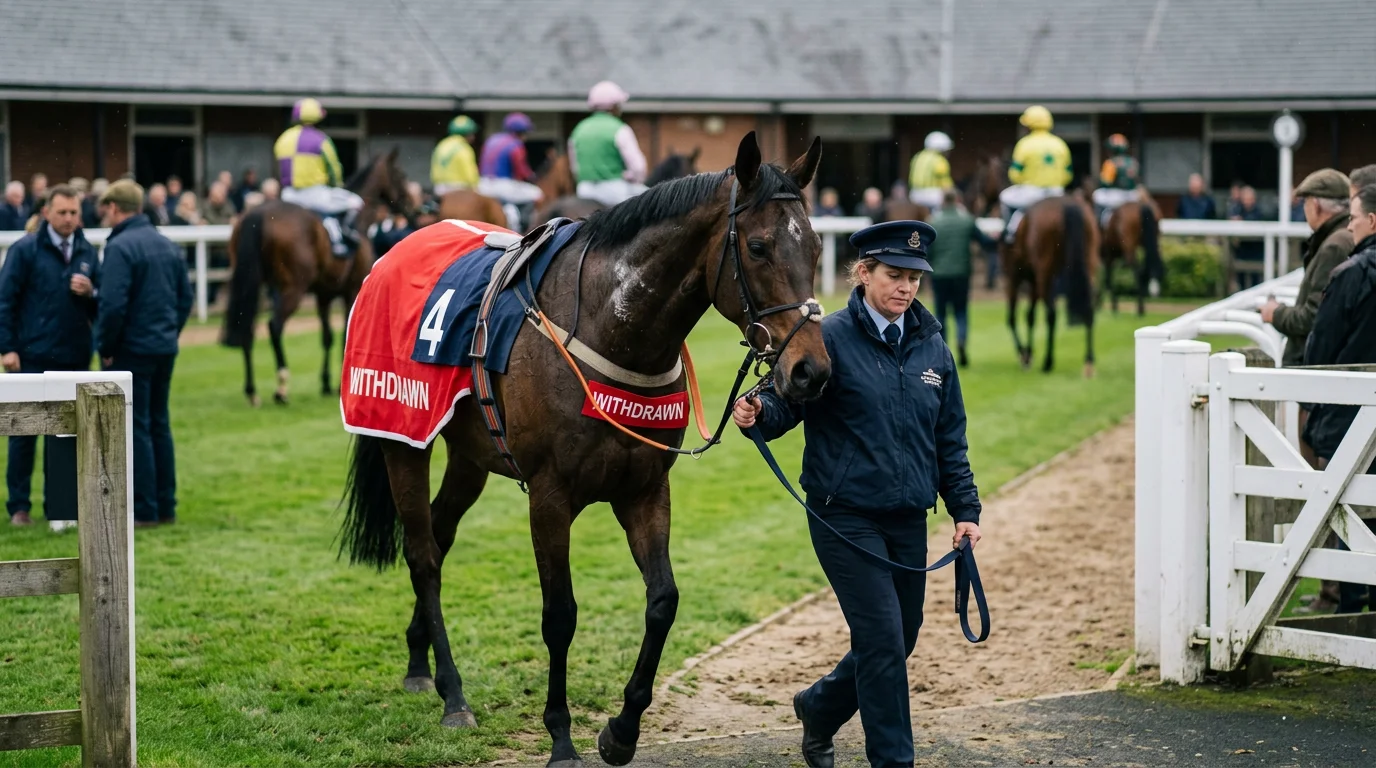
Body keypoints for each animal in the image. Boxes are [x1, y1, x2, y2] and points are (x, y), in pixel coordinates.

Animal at [220, 150, 409, 405]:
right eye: (400, 174)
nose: (415, 205)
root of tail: (258, 213)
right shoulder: (351, 290)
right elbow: (345, 334)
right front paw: (340, 386)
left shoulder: (324, 294)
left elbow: (327, 336)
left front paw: (327, 384)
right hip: (294, 287)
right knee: (275, 326)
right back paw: (281, 388)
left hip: (253, 284)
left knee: (247, 328)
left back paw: (252, 391)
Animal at [338, 132, 829, 767]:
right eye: (760, 246)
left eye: (816, 247)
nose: (810, 370)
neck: (608, 323)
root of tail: (394, 249)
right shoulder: (549, 497)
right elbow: (560, 615)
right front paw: (561, 736)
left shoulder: (645, 489)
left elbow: (663, 600)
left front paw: (621, 731)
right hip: (405, 441)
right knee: (422, 554)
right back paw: (453, 693)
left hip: (469, 455)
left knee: (438, 538)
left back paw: (420, 662)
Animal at [1003, 192, 1100, 377]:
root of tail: (1068, 204)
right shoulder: (1032, 281)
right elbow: (1030, 316)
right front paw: (1028, 353)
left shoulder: (1013, 278)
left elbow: (1012, 318)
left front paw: (1024, 355)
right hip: (1089, 264)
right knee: (1089, 311)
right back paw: (1088, 362)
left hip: (1044, 274)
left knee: (1051, 314)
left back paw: (1048, 362)